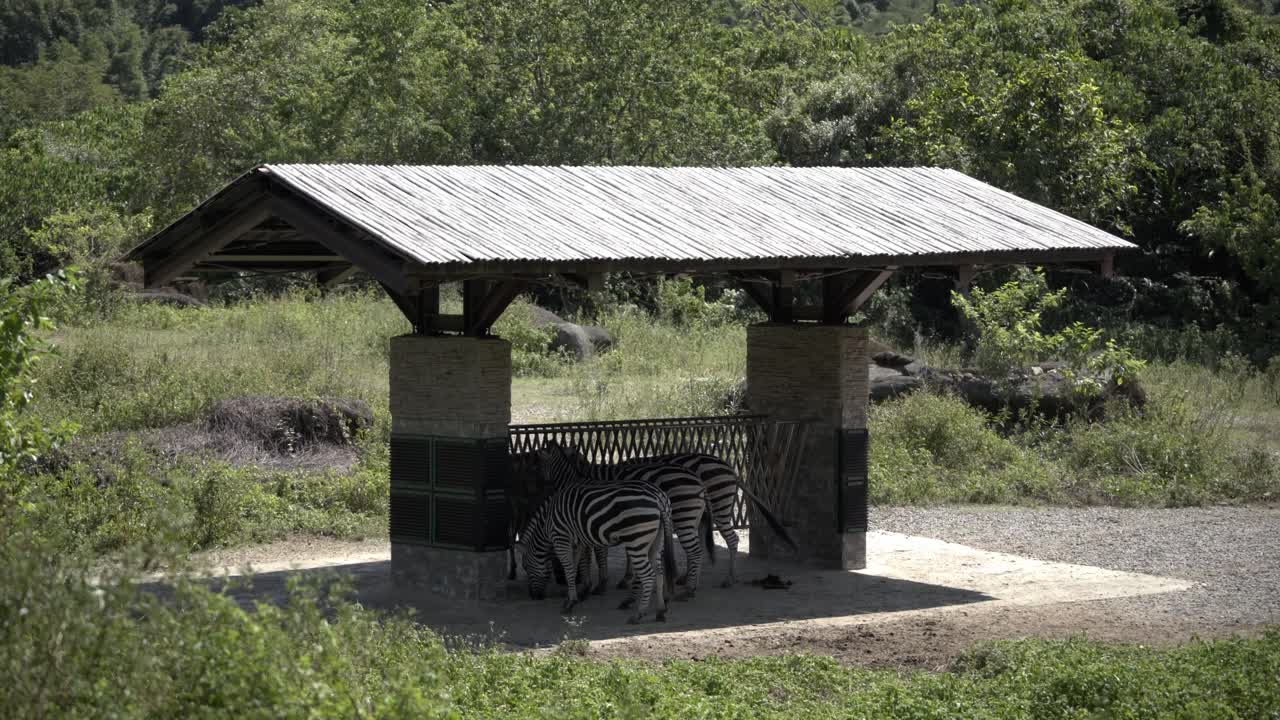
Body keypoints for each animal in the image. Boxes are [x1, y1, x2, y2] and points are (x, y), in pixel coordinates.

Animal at [517, 477, 677, 624]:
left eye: (525, 567)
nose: (534, 596)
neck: (547, 520)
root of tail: (658, 497)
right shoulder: (578, 542)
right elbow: (575, 568)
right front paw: (573, 597)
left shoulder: (561, 538)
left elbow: (569, 569)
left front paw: (571, 603)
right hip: (655, 540)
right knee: (659, 572)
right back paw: (660, 611)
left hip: (636, 539)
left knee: (648, 575)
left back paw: (638, 614)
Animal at [535, 440, 714, 600]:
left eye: (541, 466)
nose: (542, 488)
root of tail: (699, 482)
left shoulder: (591, 524)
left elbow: (597, 554)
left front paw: (598, 584)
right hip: (693, 519)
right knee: (697, 547)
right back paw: (690, 583)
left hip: (684, 517)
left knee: (695, 551)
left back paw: (689, 589)